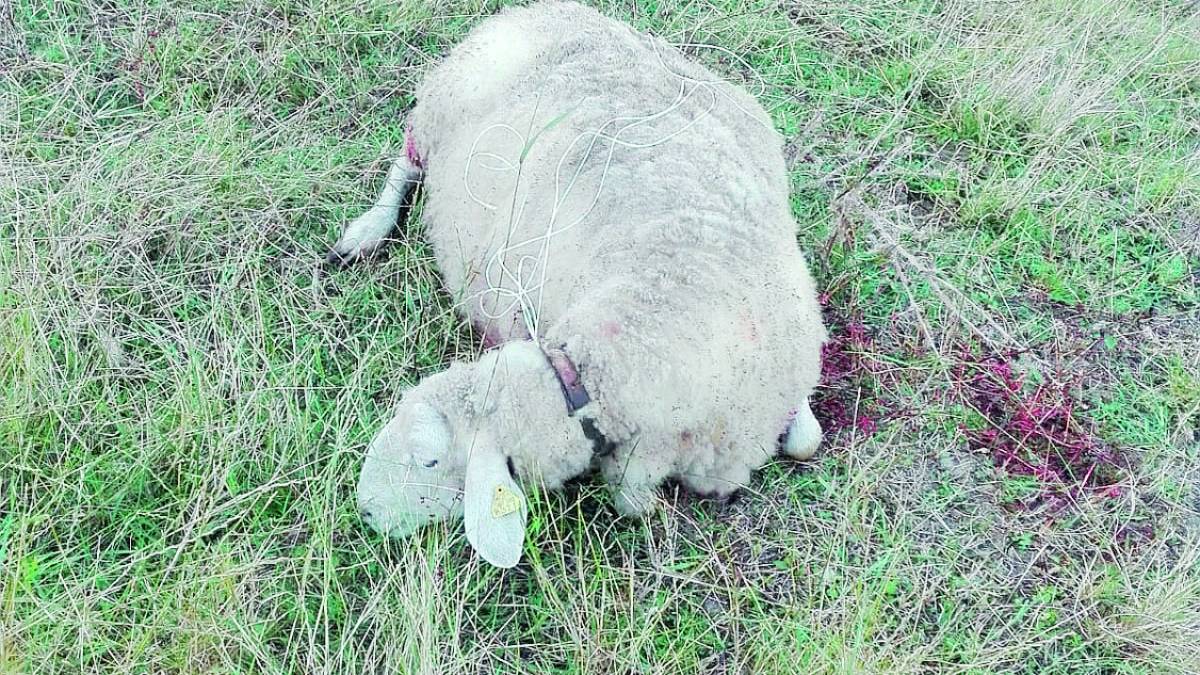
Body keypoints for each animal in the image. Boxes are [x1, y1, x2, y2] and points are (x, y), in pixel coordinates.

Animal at [333, 0, 827, 568]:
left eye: (431, 461)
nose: (365, 510)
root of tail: (536, 11)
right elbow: (634, 501)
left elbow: (806, 440)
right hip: (435, 111)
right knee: (405, 165)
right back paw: (364, 233)